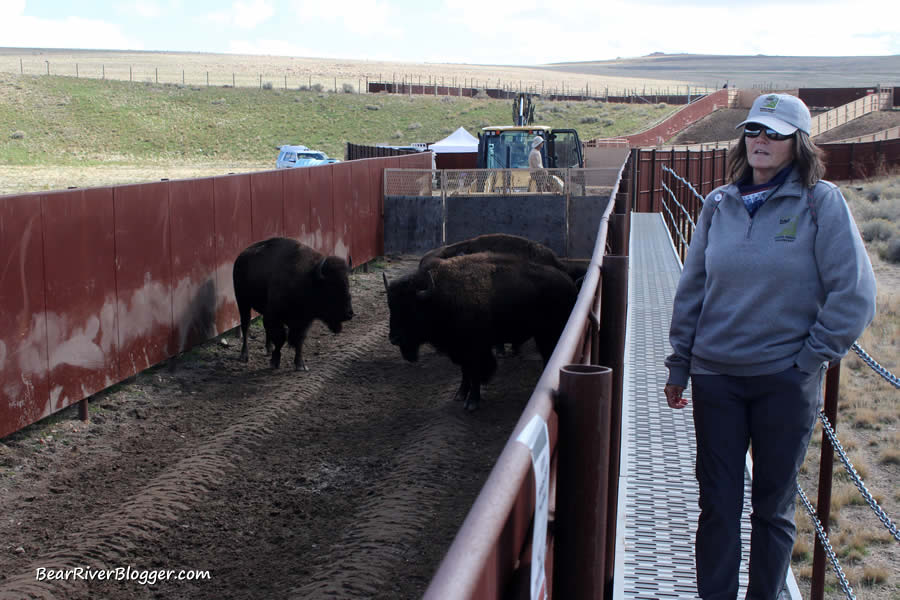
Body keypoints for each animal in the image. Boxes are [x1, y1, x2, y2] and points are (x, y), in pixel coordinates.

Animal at [234, 238, 354, 370]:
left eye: (347, 285)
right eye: (331, 288)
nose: (349, 314)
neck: (308, 278)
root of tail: (241, 256)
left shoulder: (303, 322)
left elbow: (298, 341)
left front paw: (300, 364)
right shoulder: (275, 317)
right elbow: (281, 339)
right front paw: (275, 362)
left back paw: (268, 349)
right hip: (243, 302)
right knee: (245, 326)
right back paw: (244, 356)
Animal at [382, 251, 576, 410]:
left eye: (411, 309)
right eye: (391, 306)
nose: (394, 339)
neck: (439, 297)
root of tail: (569, 282)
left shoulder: (475, 350)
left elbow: (475, 372)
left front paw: (472, 402)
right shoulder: (459, 350)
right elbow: (465, 372)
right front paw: (460, 394)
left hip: (549, 333)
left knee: (548, 355)